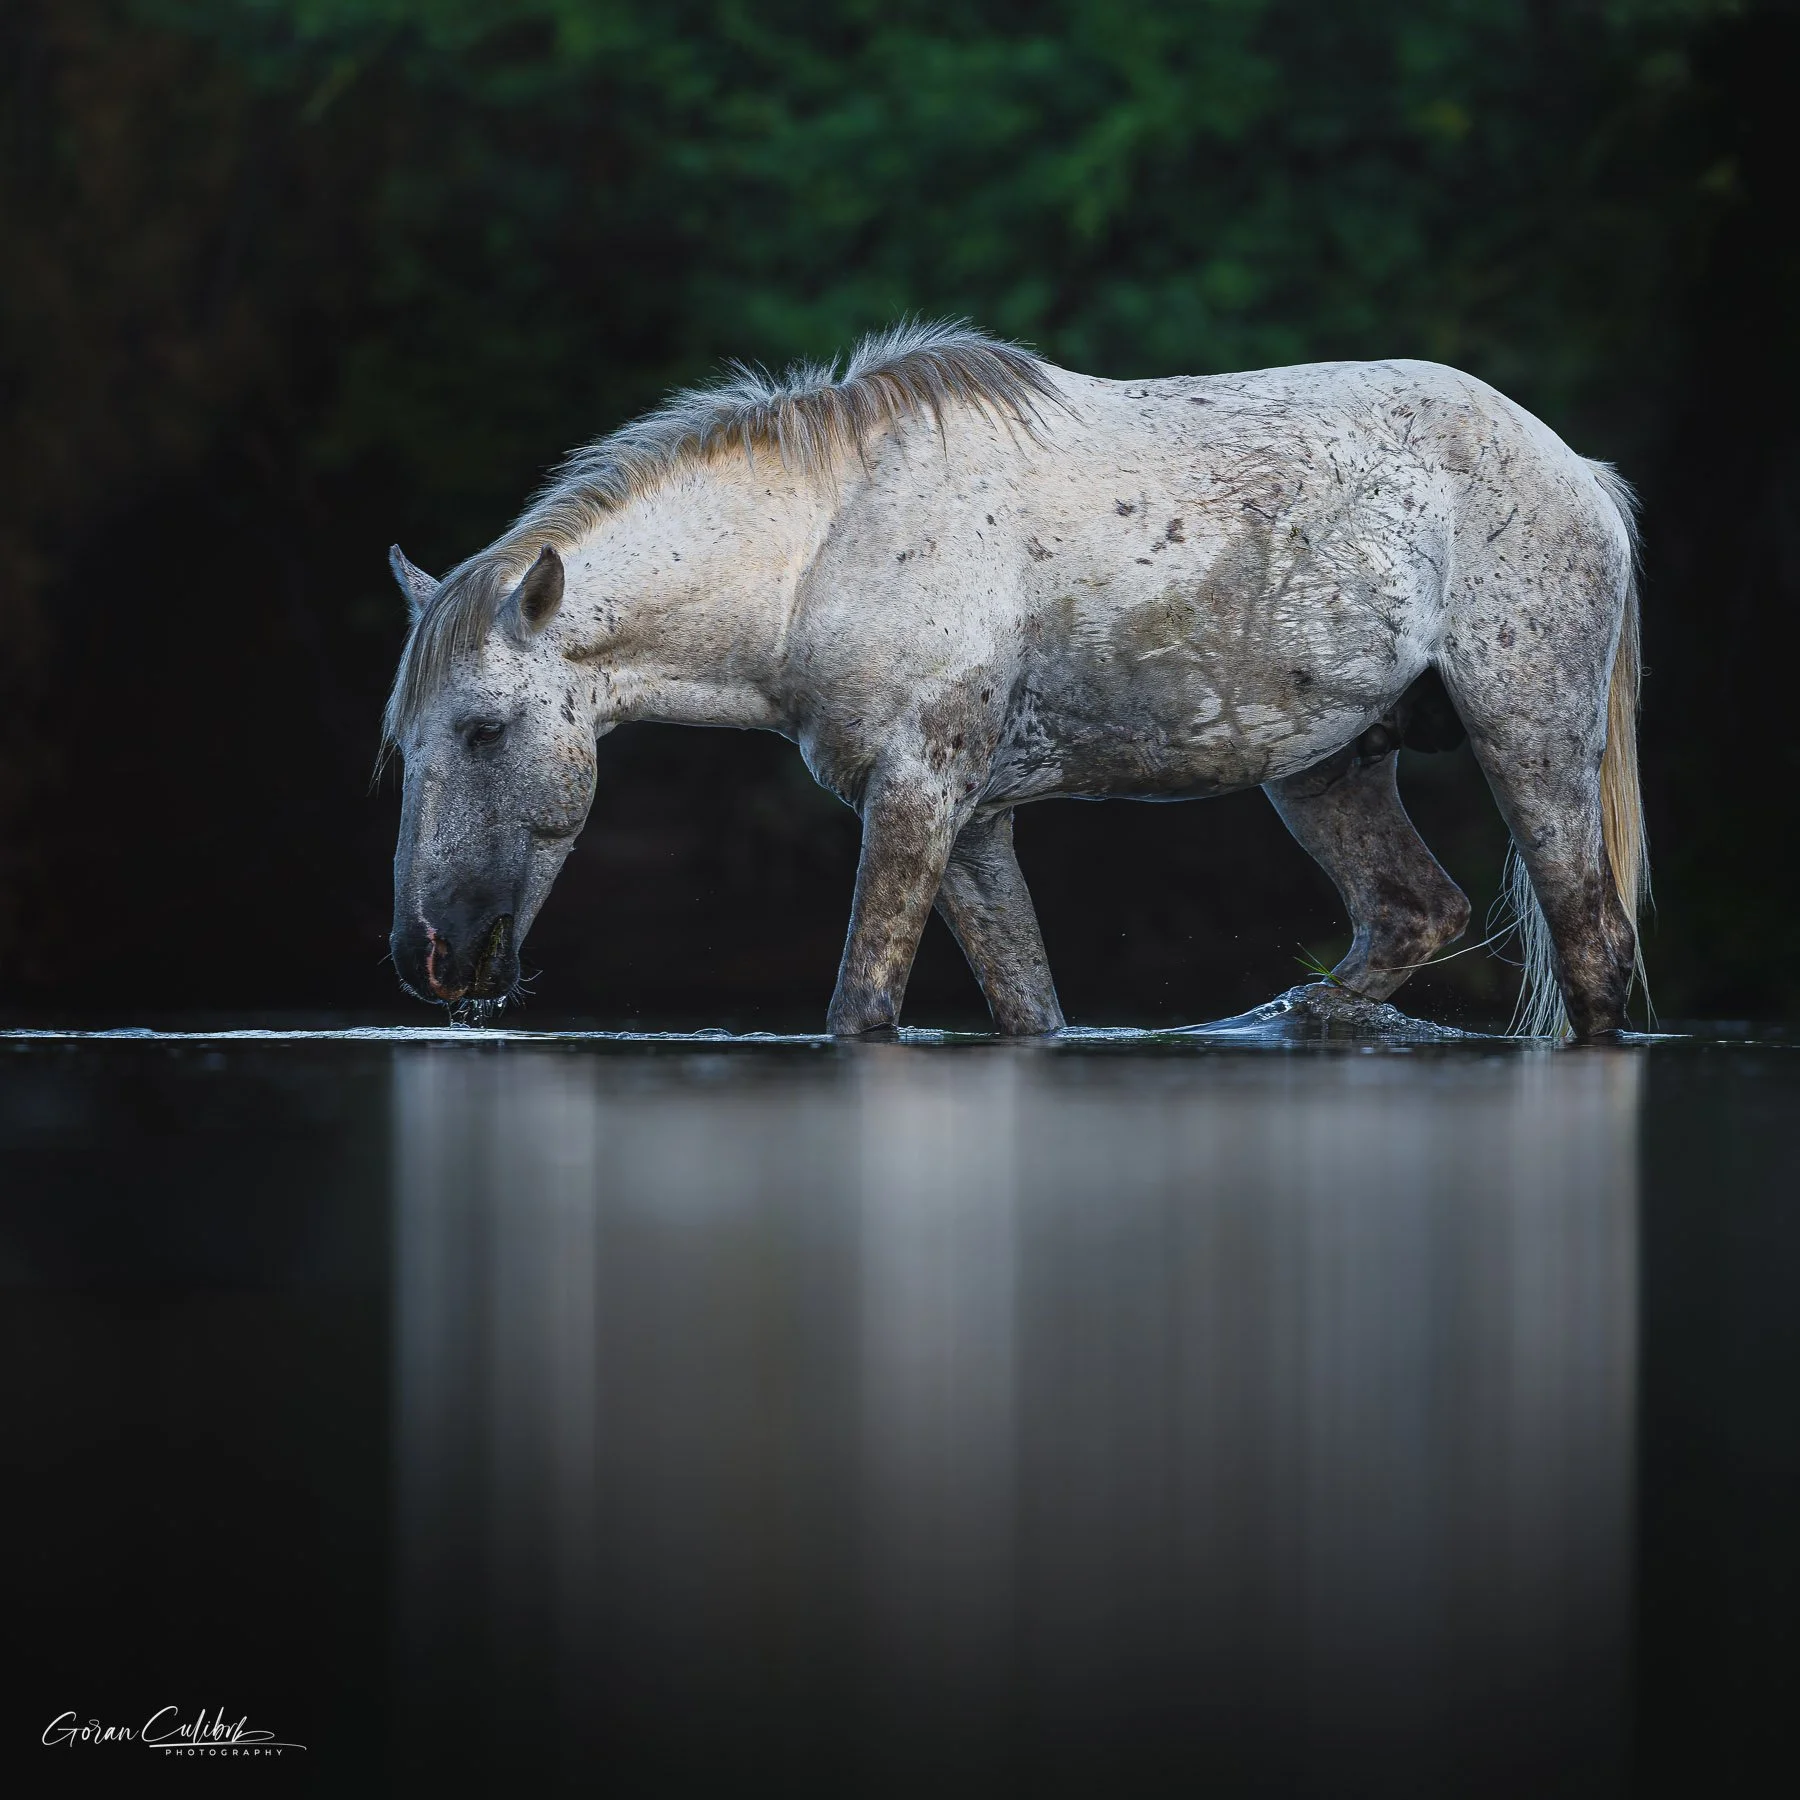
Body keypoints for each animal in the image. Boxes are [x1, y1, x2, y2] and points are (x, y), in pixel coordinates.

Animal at [382, 320, 1647, 1040]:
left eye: (485, 730)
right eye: (405, 748)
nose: (426, 960)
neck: (823, 549)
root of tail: (1576, 468)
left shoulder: (918, 795)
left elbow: (861, 1008)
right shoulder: (972, 820)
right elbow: (1029, 1010)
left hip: (1530, 741)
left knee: (1592, 948)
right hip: (1329, 766)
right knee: (1411, 913)